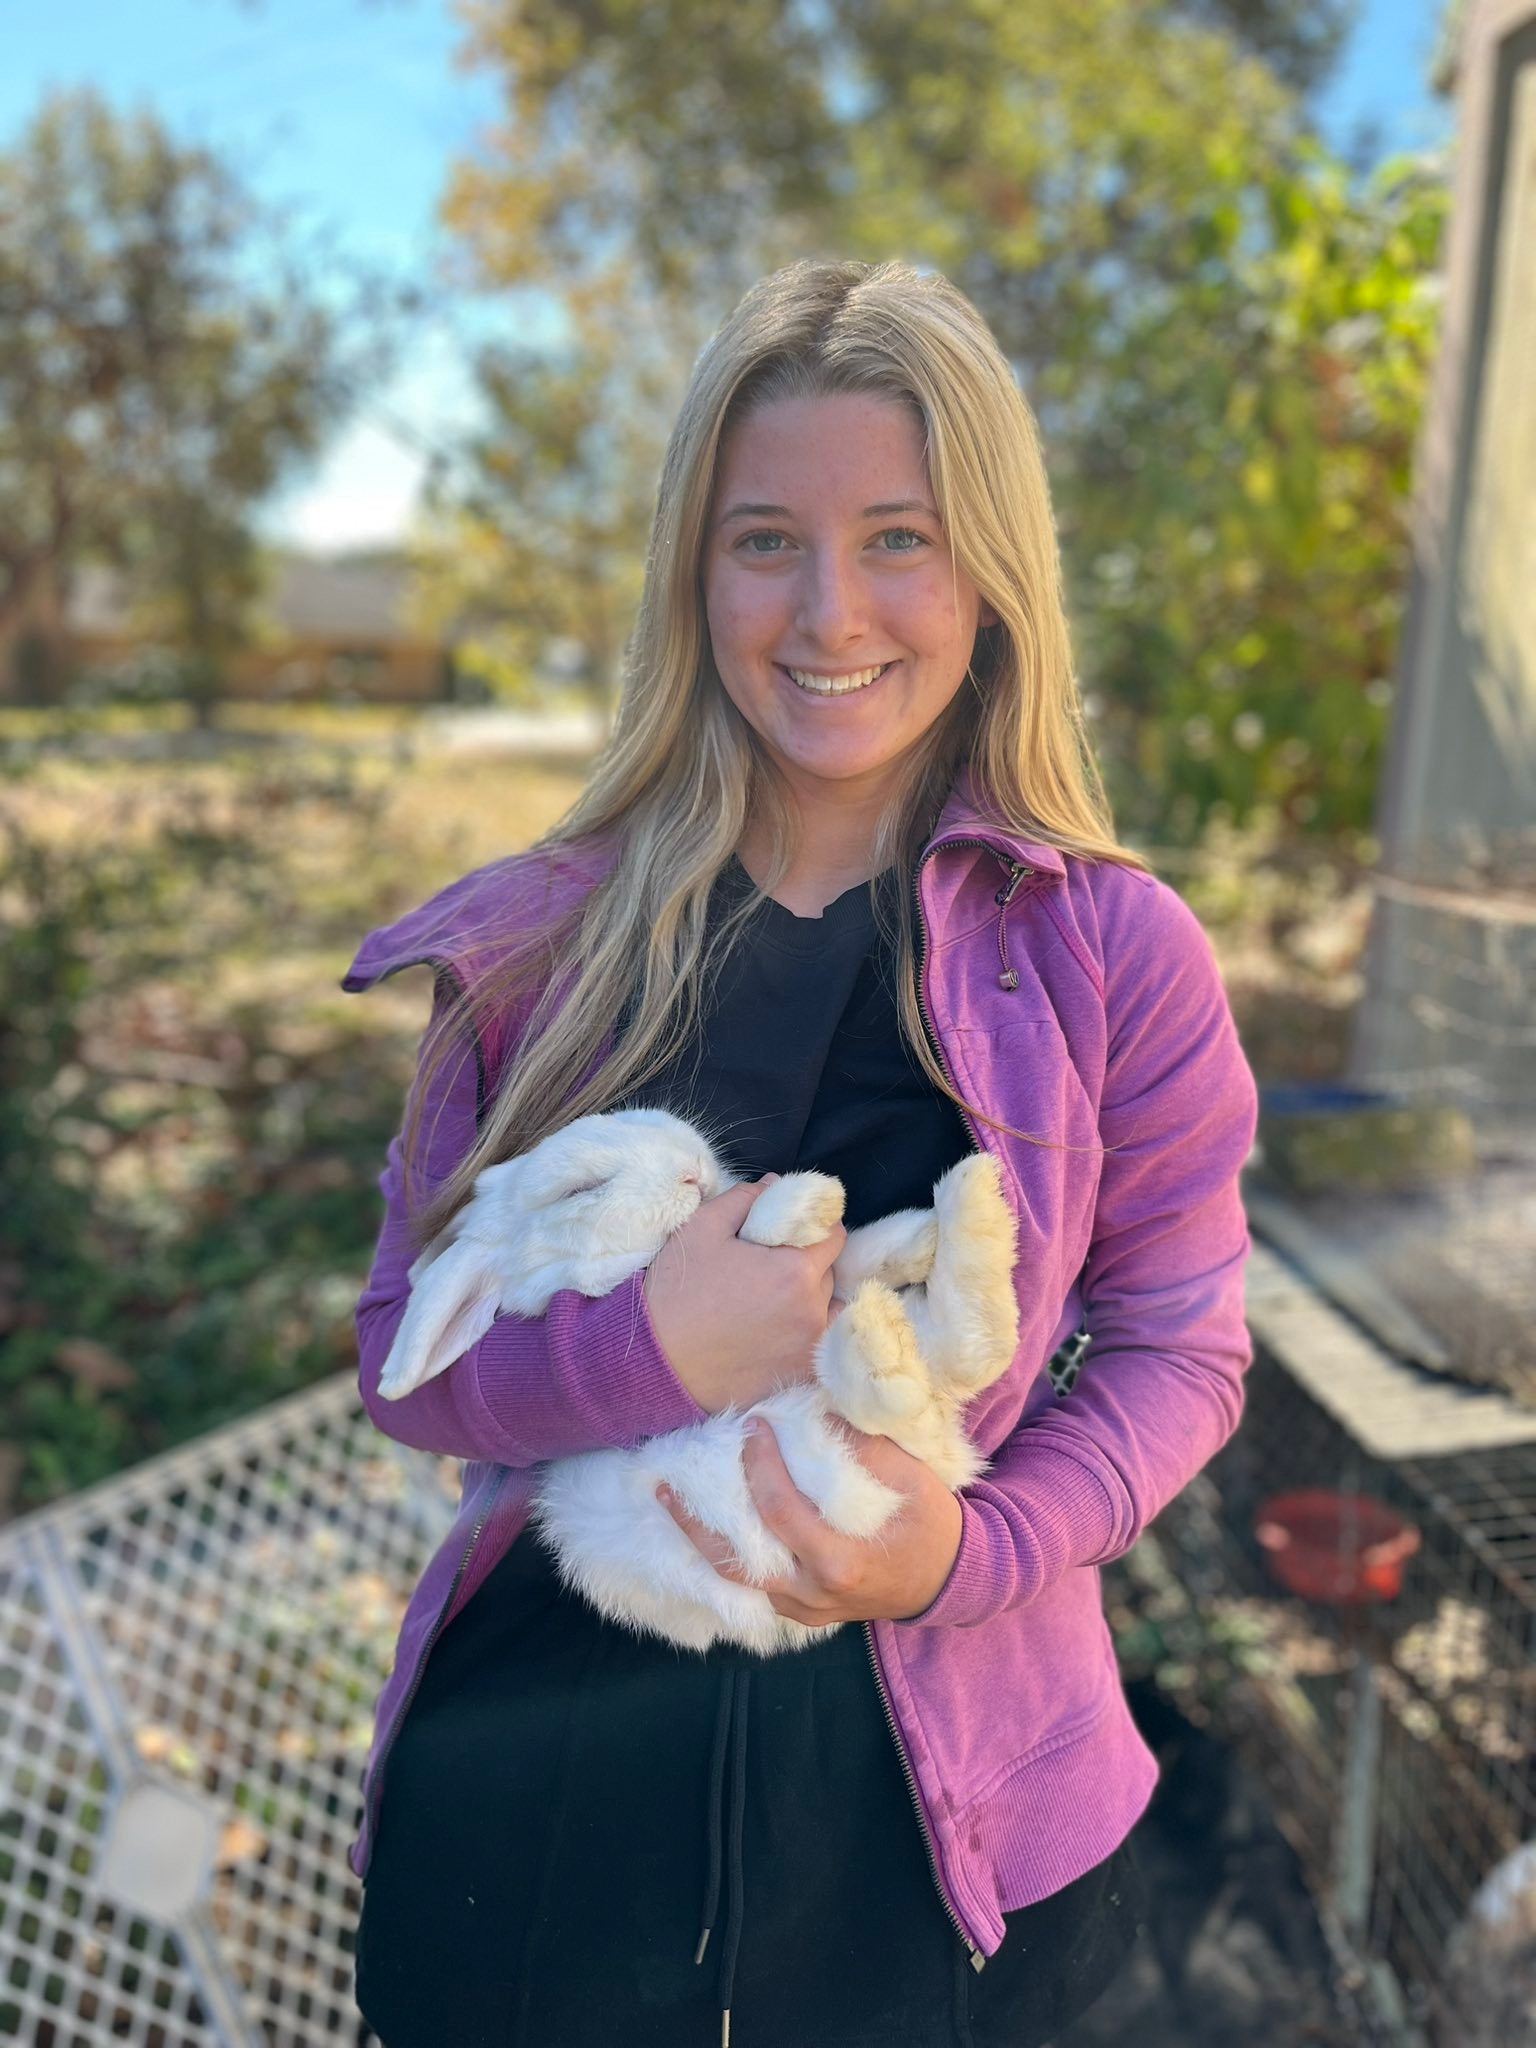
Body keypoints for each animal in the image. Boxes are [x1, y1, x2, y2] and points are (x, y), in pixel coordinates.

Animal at [378, 1106, 1021, 1654]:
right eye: (577, 1191)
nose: (690, 1168)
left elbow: (846, 1261)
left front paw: (876, 1231)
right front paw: (809, 1200)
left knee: (958, 1351)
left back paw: (958, 1211)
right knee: (925, 1379)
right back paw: (886, 1322)